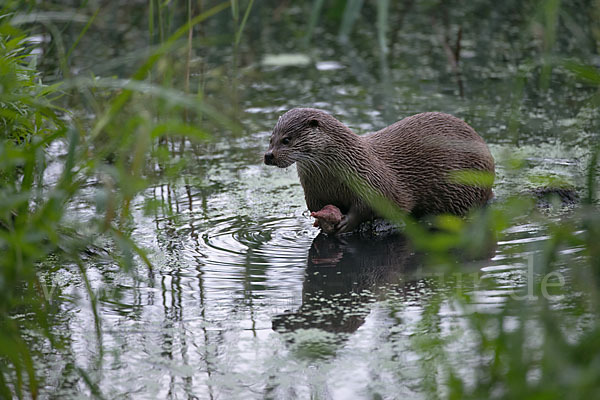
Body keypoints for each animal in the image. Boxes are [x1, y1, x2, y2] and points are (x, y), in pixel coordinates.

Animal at [264, 109, 494, 234]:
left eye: (286, 139)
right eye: (271, 139)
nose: (269, 155)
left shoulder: (372, 180)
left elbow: (372, 205)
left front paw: (347, 222)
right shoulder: (313, 193)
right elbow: (316, 207)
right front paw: (322, 224)